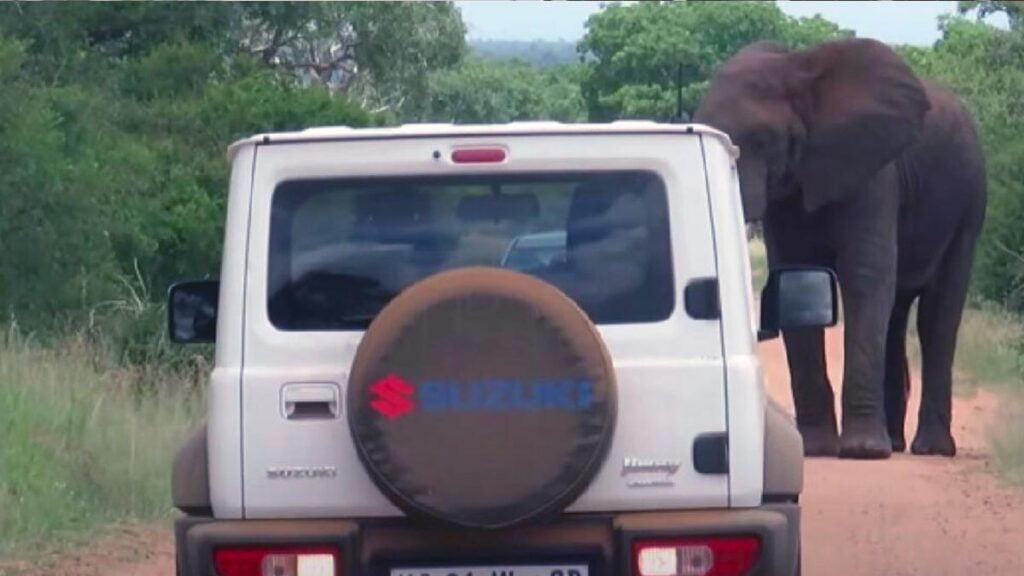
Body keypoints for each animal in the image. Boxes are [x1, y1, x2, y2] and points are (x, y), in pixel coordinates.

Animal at [692, 36, 987, 457]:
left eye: (763, 140)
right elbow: (795, 280)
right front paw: (815, 448)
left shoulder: (874, 171)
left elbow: (865, 277)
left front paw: (863, 451)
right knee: (896, 315)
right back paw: (894, 443)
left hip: (969, 202)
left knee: (937, 316)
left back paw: (928, 448)